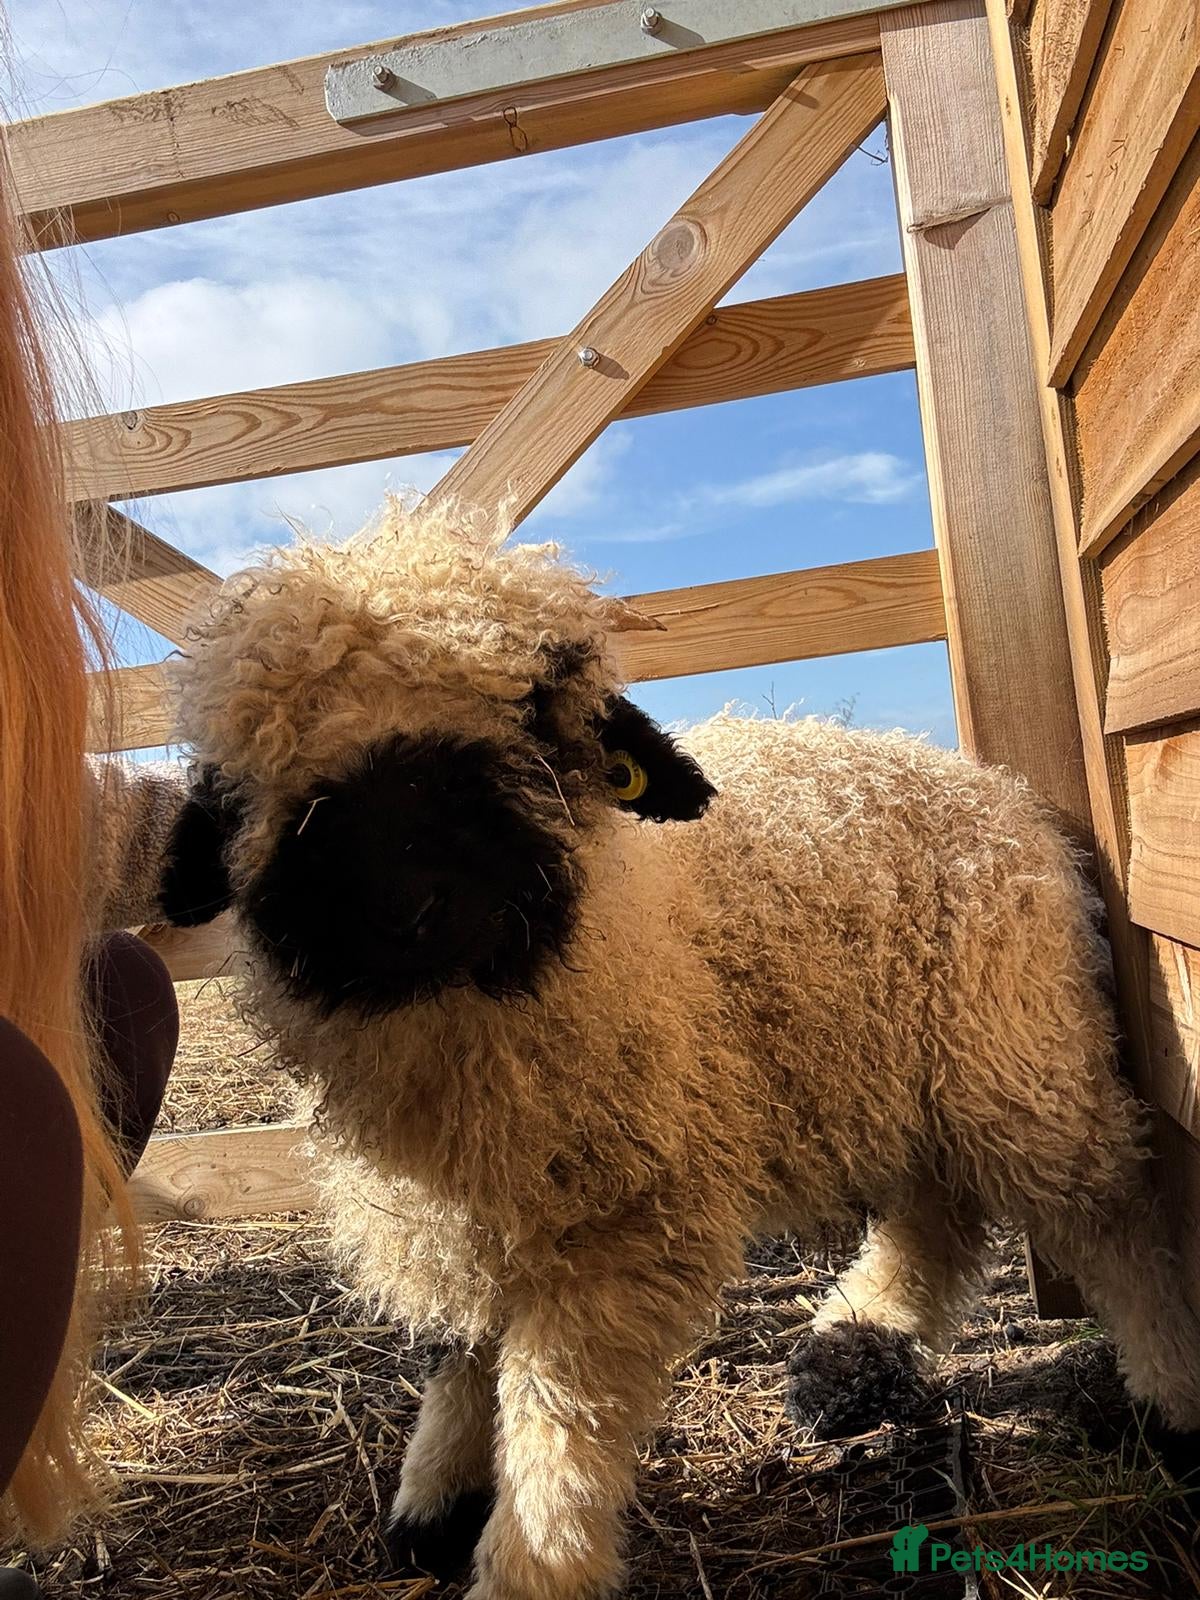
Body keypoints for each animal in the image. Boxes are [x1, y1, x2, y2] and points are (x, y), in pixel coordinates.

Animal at [167, 498, 1200, 1600]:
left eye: (540, 713)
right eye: (247, 767)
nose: (412, 900)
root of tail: (982, 782)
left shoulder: (625, 1224)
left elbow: (559, 1416)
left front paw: (532, 1564)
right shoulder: (444, 1212)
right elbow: (460, 1351)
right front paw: (436, 1499)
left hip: (1015, 1051)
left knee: (1110, 1216)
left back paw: (1169, 1398)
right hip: (904, 1058)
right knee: (940, 1212)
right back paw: (856, 1346)